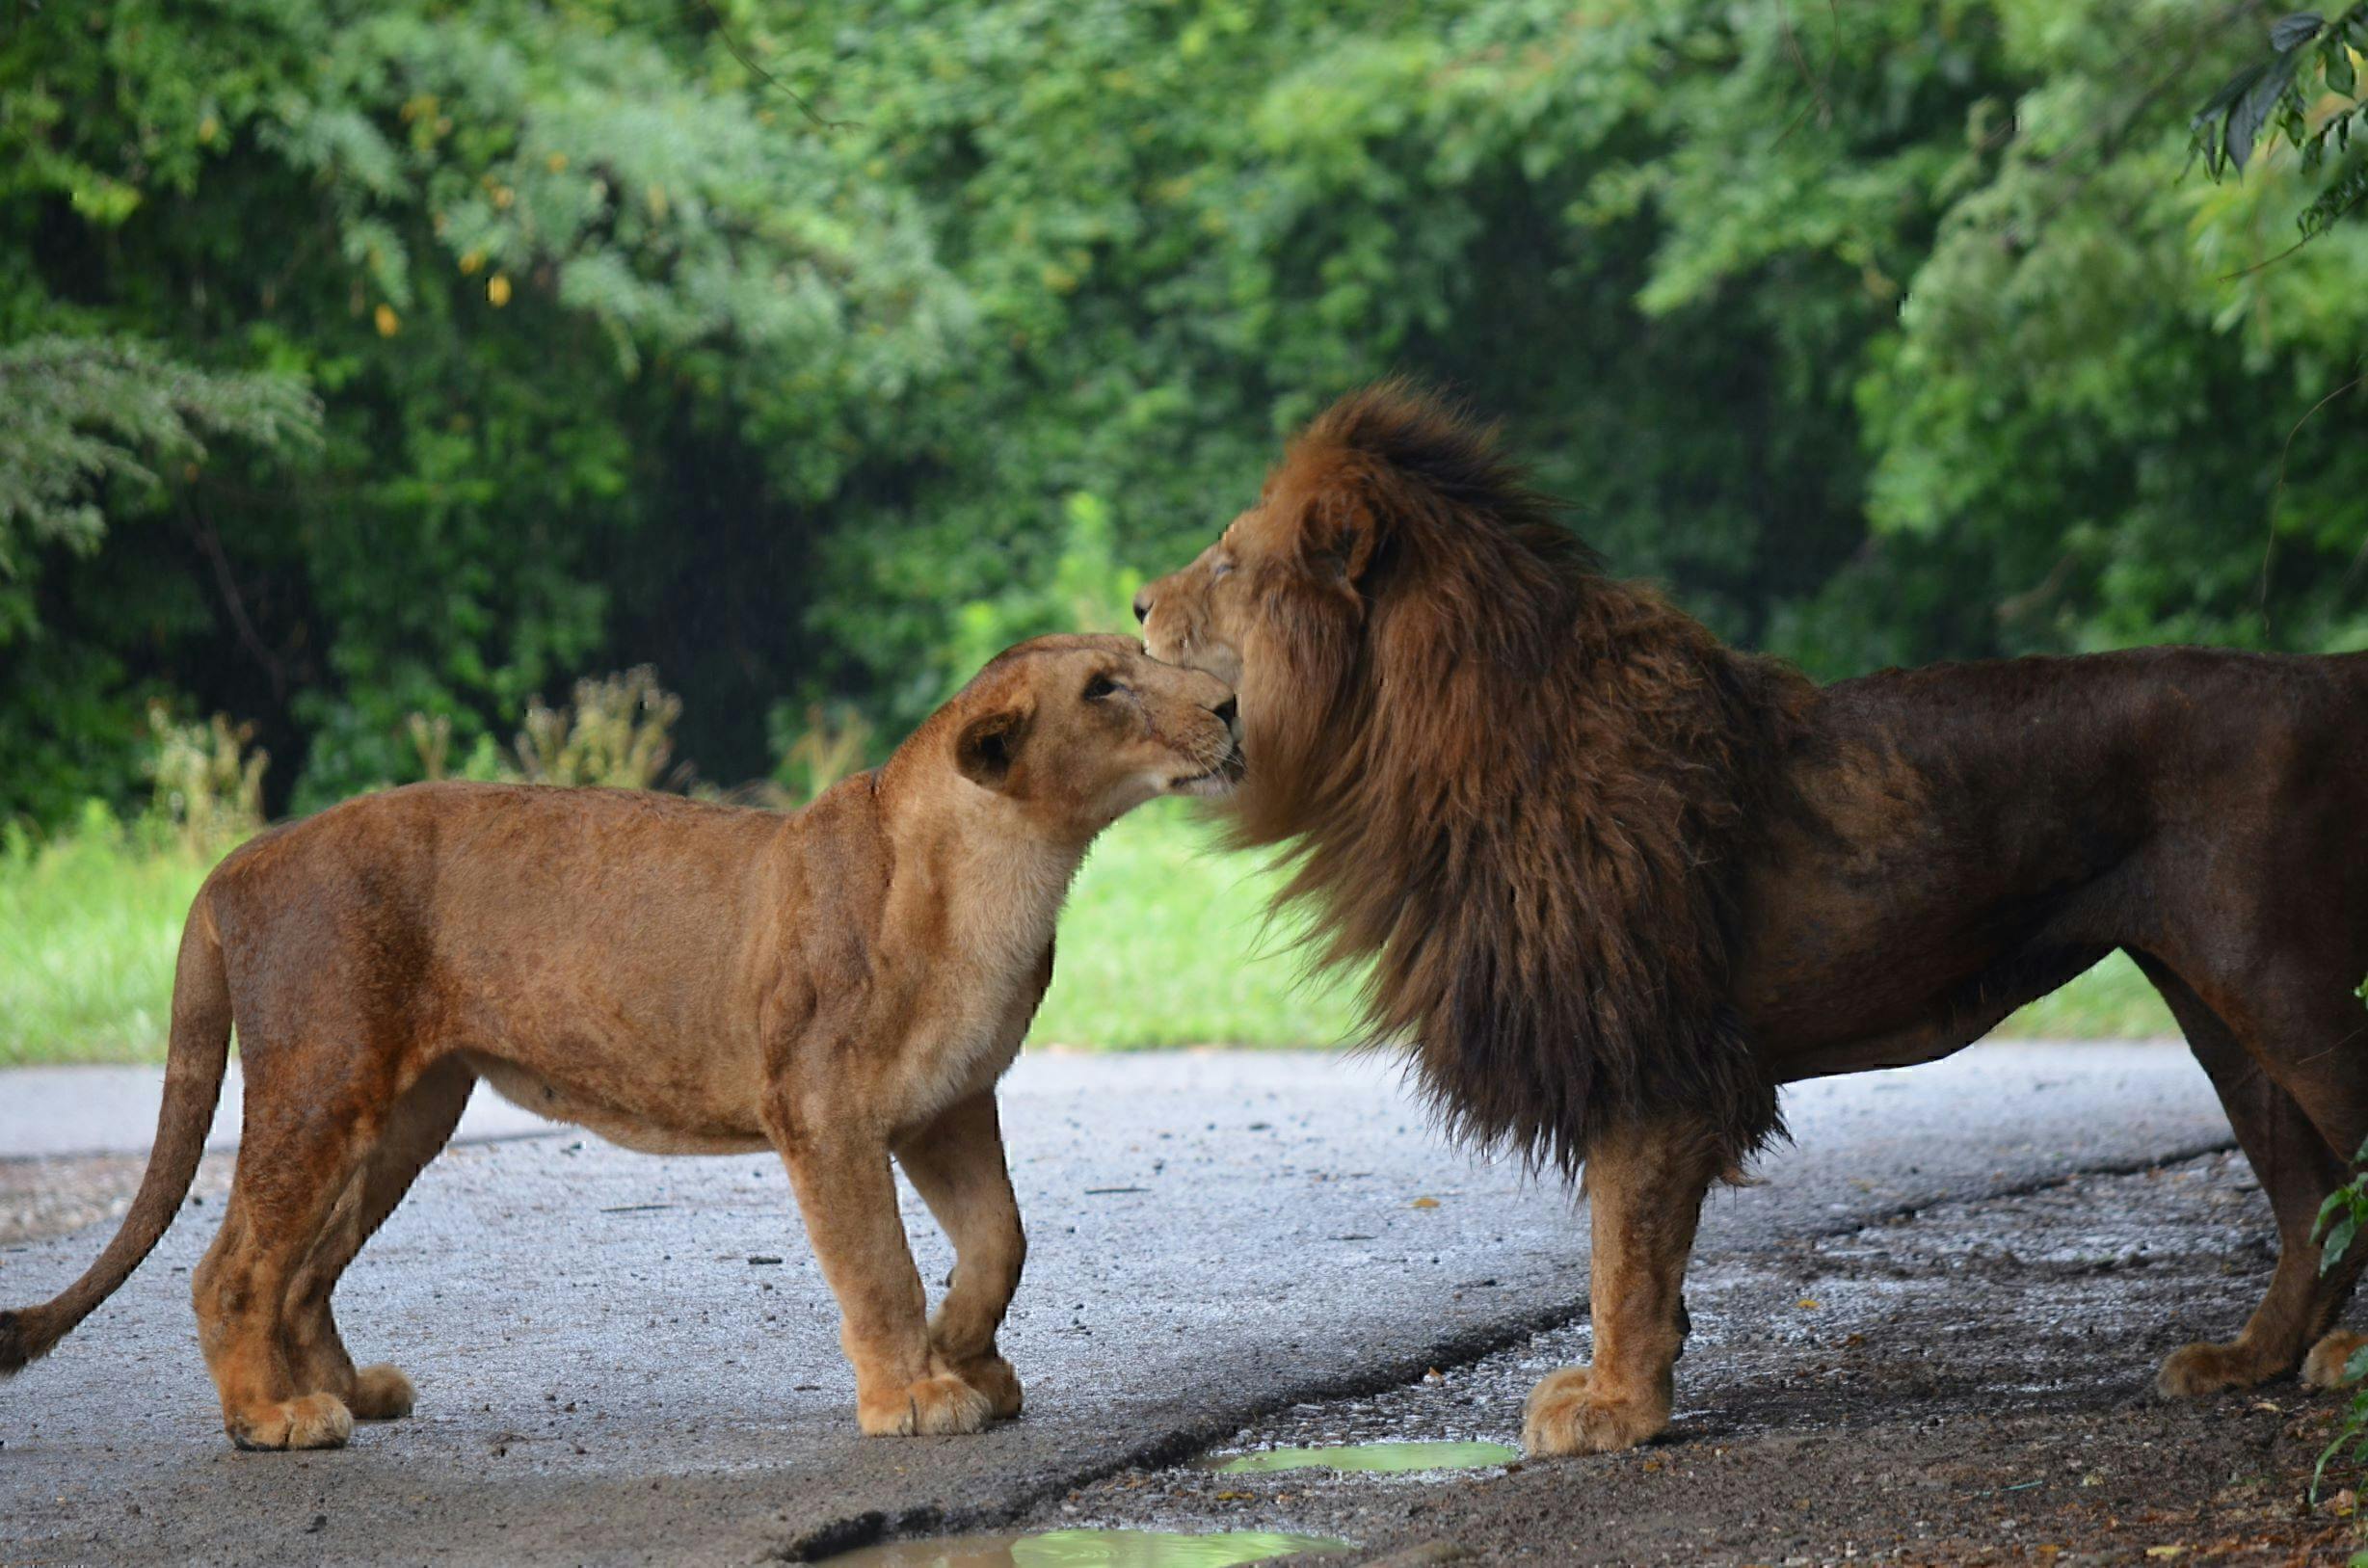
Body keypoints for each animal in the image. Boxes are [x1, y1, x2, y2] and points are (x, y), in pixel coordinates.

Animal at [0, 634, 1250, 1458]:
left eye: (1140, 653)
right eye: (1104, 686)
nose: (1235, 700)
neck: (1014, 869)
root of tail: (243, 858)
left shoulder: (947, 1105)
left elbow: (1001, 1241)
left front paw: (968, 1353)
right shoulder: (824, 1111)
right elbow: (878, 1264)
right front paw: (914, 1392)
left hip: (408, 1113)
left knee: (307, 1267)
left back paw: (353, 1391)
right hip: (324, 1082)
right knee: (235, 1264)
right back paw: (272, 1417)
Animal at [1136, 390, 2368, 1458]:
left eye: (1229, 563)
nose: (1139, 607)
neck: (1420, 737)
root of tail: (2325, 678)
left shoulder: (1649, 1053)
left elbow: (1622, 1252)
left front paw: (1620, 1408)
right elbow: (1636, 1255)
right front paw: (1630, 1388)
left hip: (2287, 983)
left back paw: (2340, 1360)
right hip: (2215, 1007)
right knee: (2310, 1203)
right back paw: (2250, 1357)